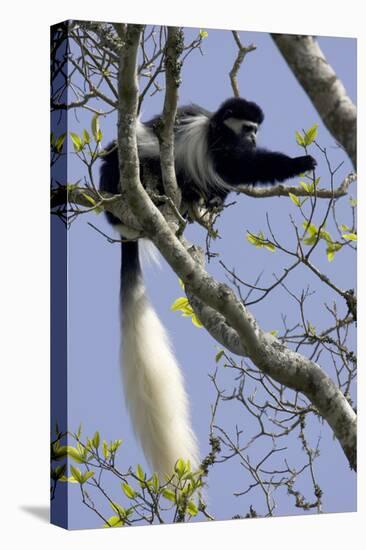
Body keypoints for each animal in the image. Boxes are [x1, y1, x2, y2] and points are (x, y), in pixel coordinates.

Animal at [98, 98, 316, 478]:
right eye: (248, 128)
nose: (255, 138)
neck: (217, 125)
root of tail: (123, 227)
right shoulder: (219, 147)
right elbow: (240, 167)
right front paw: (299, 162)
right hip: (125, 173)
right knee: (127, 160)